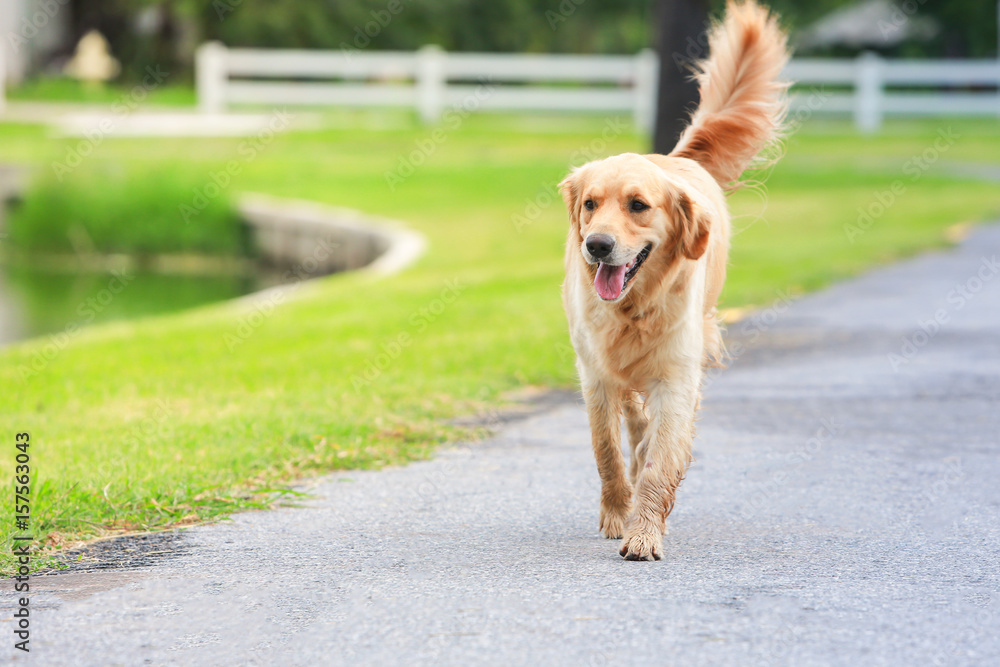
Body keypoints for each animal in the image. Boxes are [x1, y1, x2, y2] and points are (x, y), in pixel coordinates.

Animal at [556, 0, 788, 560]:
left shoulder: (678, 375)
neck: (633, 307)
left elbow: (662, 459)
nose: (597, 245)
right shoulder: (594, 373)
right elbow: (606, 451)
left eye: (638, 205)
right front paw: (617, 514)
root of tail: (677, 158)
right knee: (633, 421)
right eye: (590, 203)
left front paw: (643, 532)